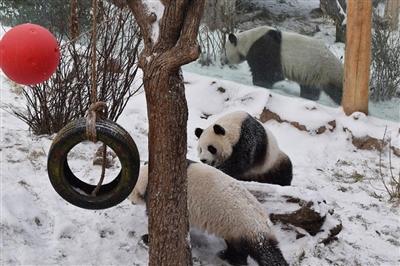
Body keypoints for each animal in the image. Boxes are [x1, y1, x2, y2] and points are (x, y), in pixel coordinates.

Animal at [130, 161, 290, 266]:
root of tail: (263, 223)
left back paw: (228, 257)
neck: (147, 177)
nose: (131, 202)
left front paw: (146, 238)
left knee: (255, 251)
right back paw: (226, 255)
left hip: (240, 225)